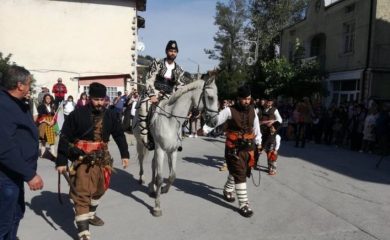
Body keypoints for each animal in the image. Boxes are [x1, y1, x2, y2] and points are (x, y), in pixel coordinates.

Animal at [133, 75, 219, 216]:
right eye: (211, 97)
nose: (215, 122)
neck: (170, 120)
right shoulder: (161, 149)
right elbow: (160, 177)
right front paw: (157, 207)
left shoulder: (172, 151)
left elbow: (172, 176)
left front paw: (163, 190)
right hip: (141, 142)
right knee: (141, 159)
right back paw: (142, 179)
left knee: (153, 163)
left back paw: (152, 188)